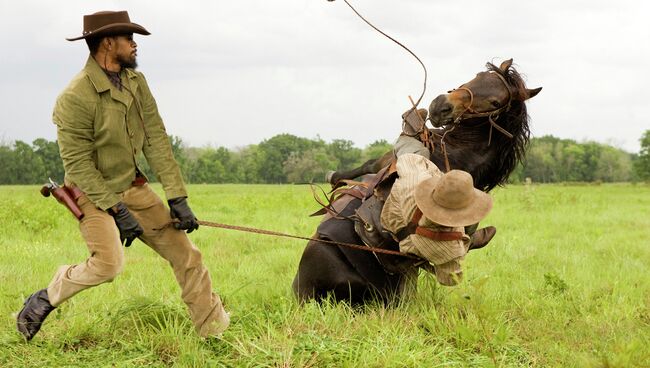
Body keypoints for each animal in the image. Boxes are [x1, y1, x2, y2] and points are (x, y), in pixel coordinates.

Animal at [292, 58, 540, 304]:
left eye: (495, 101)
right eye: (478, 76)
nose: (440, 105)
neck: (459, 154)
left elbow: (371, 165)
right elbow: (368, 167)